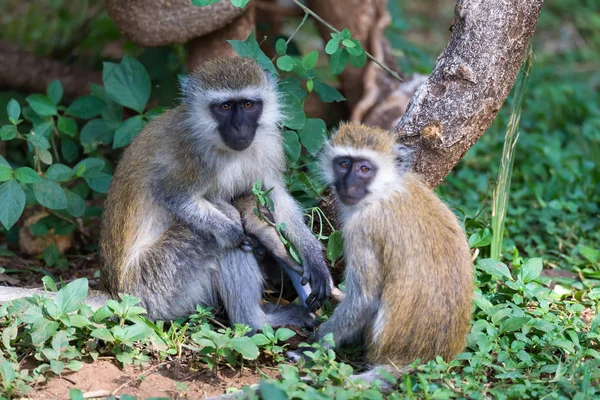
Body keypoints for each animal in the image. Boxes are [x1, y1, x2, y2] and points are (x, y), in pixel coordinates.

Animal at [100, 57, 330, 330]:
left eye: (248, 104)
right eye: (224, 106)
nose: (239, 126)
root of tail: (117, 294)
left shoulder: (270, 143)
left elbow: (278, 199)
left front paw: (313, 256)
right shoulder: (192, 156)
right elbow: (174, 196)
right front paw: (237, 234)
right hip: (154, 286)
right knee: (216, 242)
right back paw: (256, 321)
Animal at [292, 124, 474, 388]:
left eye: (365, 169)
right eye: (344, 164)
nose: (348, 185)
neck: (385, 191)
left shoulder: (362, 229)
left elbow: (364, 301)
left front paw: (311, 348)